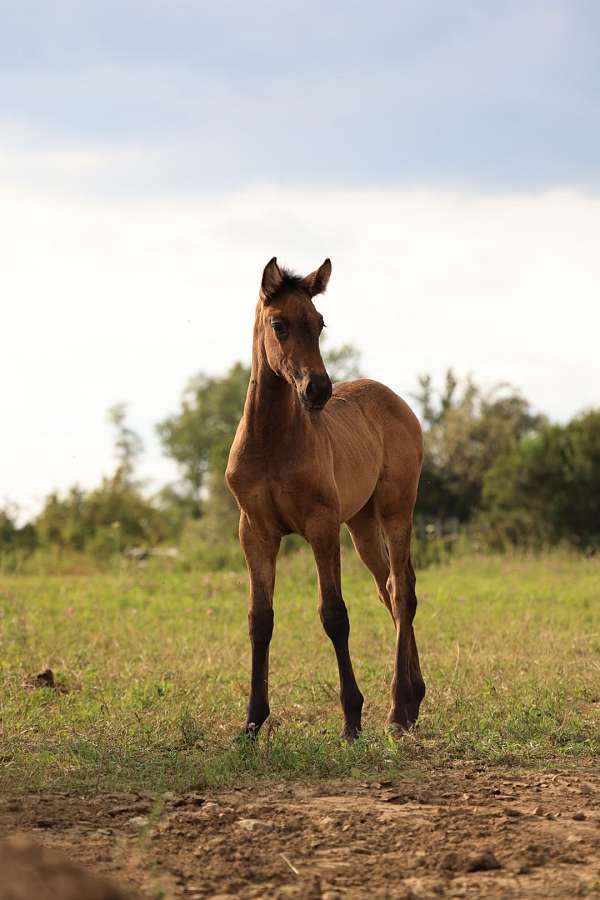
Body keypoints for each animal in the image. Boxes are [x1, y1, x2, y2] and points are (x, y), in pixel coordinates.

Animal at [226, 258, 426, 740]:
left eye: (319, 323)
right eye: (279, 324)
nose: (317, 389)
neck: (271, 443)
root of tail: (398, 402)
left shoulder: (321, 526)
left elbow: (334, 614)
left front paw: (352, 718)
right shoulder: (254, 533)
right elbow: (260, 619)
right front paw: (252, 721)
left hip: (396, 511)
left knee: (403, 592)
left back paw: (397, 709)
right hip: (362, 525)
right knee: (389, 589)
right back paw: (412, 701)